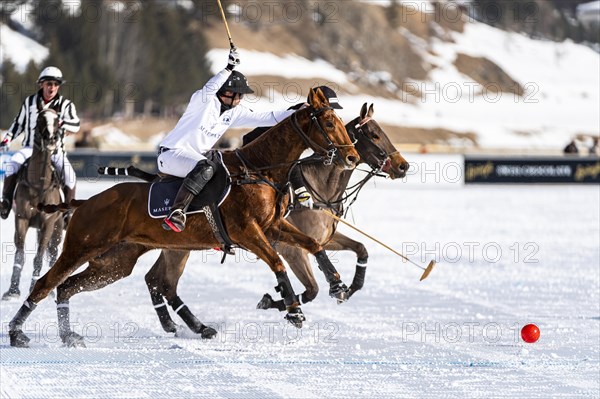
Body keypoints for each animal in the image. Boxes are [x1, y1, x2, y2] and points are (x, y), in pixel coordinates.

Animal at [1, 109, 63, 300]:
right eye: (41, 118)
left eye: (58, 120)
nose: (51, 140)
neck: (39, 184)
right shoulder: (22, 219)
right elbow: (20, 255)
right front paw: (13, 291)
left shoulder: (48, 223)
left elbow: (39, 257)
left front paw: (34, 289)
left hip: (57, 227)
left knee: (53, 254)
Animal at [8, 89, 356, 348]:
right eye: (328, 122)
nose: (351, 156)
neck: (259, 169)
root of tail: (86, 201)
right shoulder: (247, 231)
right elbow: (278, 262)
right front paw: (294, 310)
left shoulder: (273, 226)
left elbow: (312, 244)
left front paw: (337, 284)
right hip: (82, 246)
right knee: (47, 283)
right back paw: (16, 332)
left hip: (114, 262)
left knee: (68, 288)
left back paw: (69, 335)